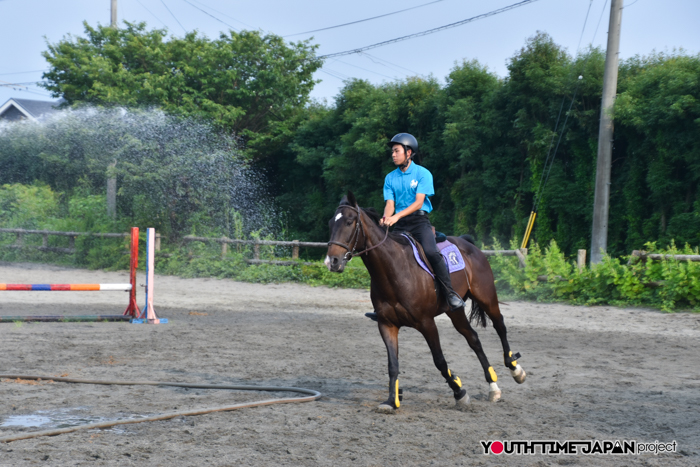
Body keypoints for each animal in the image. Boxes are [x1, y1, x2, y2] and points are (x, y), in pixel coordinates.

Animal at [325, 192, 526, 413]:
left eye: (349, 222)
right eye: (330, 223)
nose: (332, 261)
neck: (394, 269)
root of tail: (469, 244)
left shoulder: (427, 323)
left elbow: (439, 360)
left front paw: (459, 392)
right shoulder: (387, 324)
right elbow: (392, 364)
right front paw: (391, 401)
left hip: (487, 297)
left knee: (500, 325)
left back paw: (515, 369)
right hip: (454, 311)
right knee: (473, 338)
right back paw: (493, 386)